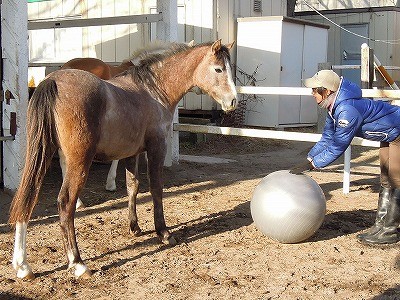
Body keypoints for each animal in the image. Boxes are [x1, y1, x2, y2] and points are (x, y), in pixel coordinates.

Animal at [9, 39, 238, 278]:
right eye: (218, 69)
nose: (233, 101)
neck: (152, 91)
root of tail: (52, 81)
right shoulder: (156, 148)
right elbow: (156, 188)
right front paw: (163, 232)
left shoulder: (132, 153)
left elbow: (132, 187)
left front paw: (134, 227)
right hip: (78, 162)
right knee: (65, 204)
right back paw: (78, 263)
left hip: (42, 153)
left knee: (27, 197)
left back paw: (22, 265)